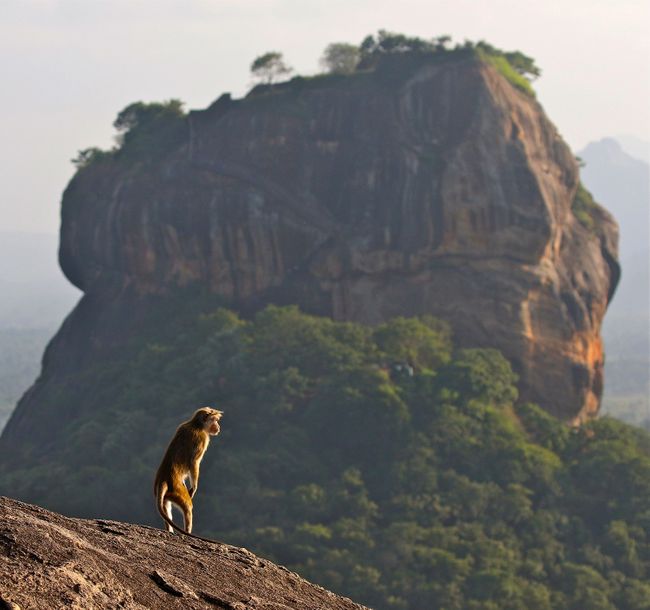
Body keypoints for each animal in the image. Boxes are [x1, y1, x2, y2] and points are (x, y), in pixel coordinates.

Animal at [154, 407, 223, 540]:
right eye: (215, 420)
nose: (218, 426)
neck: (196, 425)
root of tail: (163, 478)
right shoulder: (203, 439)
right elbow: (194, 462)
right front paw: (194, 487)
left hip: (168, 493)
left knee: (166, 506)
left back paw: (170, 530)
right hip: (177, 492)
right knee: (187, 507)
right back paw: (187, 532)